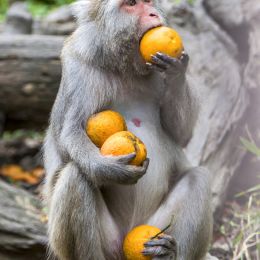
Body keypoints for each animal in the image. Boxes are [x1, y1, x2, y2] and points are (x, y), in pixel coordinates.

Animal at [43, 0, 213, 260]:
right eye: (132, 4)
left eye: (150, 3)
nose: (152, 14)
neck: (124, 66)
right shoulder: (78, 67)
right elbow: (69, 134)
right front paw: (110, 169)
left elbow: (181, 133)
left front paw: (176, 72)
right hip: (106, 242)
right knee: (75, 177)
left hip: (154, 225)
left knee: (198, 179)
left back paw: (168, 253)